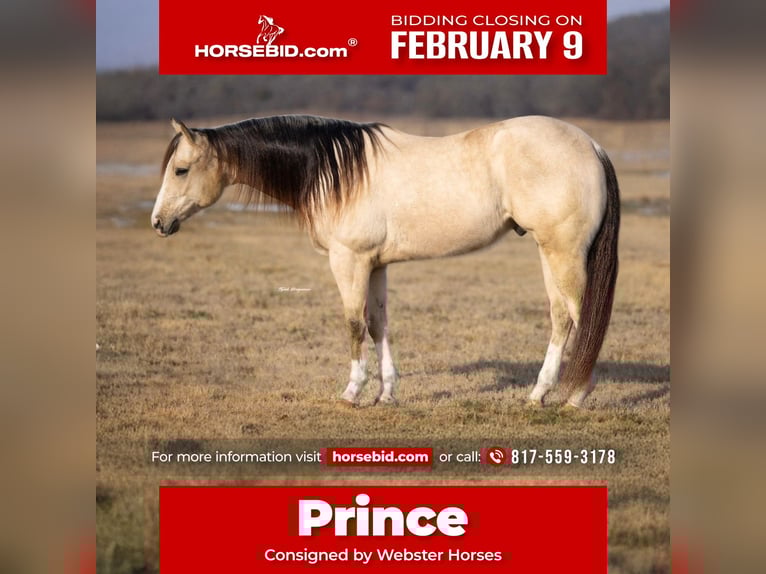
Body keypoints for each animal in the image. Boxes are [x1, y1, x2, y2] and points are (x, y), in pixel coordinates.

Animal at [151, 115, 619, 408]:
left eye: (180, 169)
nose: (158, 222)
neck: (335, 171)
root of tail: (593, 145)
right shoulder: (375, 265)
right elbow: (378, 325)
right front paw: (386, 393)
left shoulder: (349, 261)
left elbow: (353, 325)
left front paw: (352, 392)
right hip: (549, 252)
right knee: (563, 317)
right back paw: (543, 394)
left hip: (563, 252)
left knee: (580, 319)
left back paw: (572, 395)